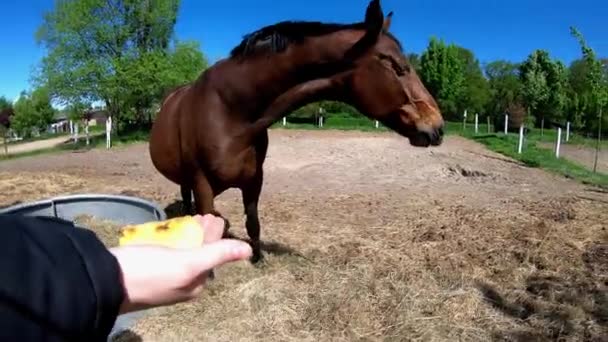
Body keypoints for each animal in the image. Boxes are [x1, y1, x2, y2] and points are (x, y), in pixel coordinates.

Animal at [150, 0, 444, 264]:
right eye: (395, 65)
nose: (438, 126)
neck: (231, 111)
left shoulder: (254, 180)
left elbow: (252, 222)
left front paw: (258, 260)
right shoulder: (203, 185)